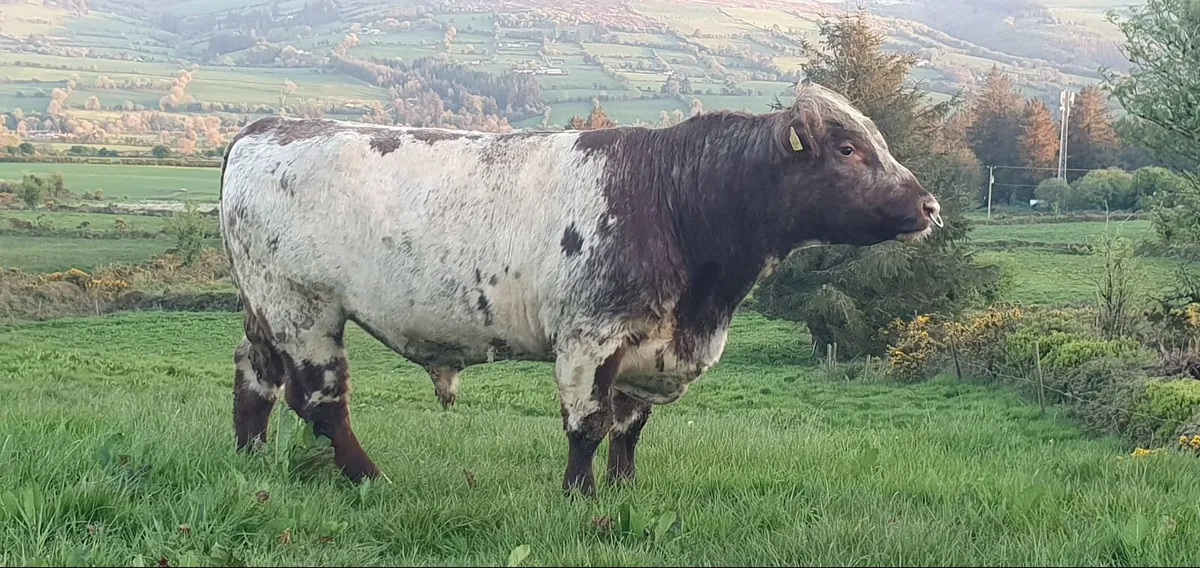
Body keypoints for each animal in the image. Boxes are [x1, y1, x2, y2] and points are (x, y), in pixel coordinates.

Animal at [219, 82, 942, 496]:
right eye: (847, 149)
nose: (929, 205)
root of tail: (266, 128)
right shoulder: (591, 338)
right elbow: (588, 425)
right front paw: (580, 497)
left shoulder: (648, 349)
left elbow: (630, 426)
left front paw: (623, 491)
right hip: (304, 308)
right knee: (319, 402)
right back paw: (373, 481)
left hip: (264, 309)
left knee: (255, 376)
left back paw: (251, 459)